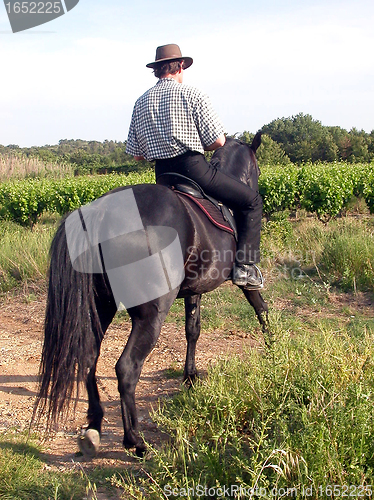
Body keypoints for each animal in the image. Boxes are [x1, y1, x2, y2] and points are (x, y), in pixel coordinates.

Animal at [33, 136, 268, 458]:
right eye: (257, 168)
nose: (256, 190)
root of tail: (100, 212)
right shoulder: (243, 280)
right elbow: (260, 307)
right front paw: (275, 347)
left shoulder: (194, 290)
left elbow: (192, 329)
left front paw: (190, 377)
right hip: (151, 314)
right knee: (126, 368)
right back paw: (135, 441)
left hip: (101, 306)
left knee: (90, 357)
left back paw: (94, 425)